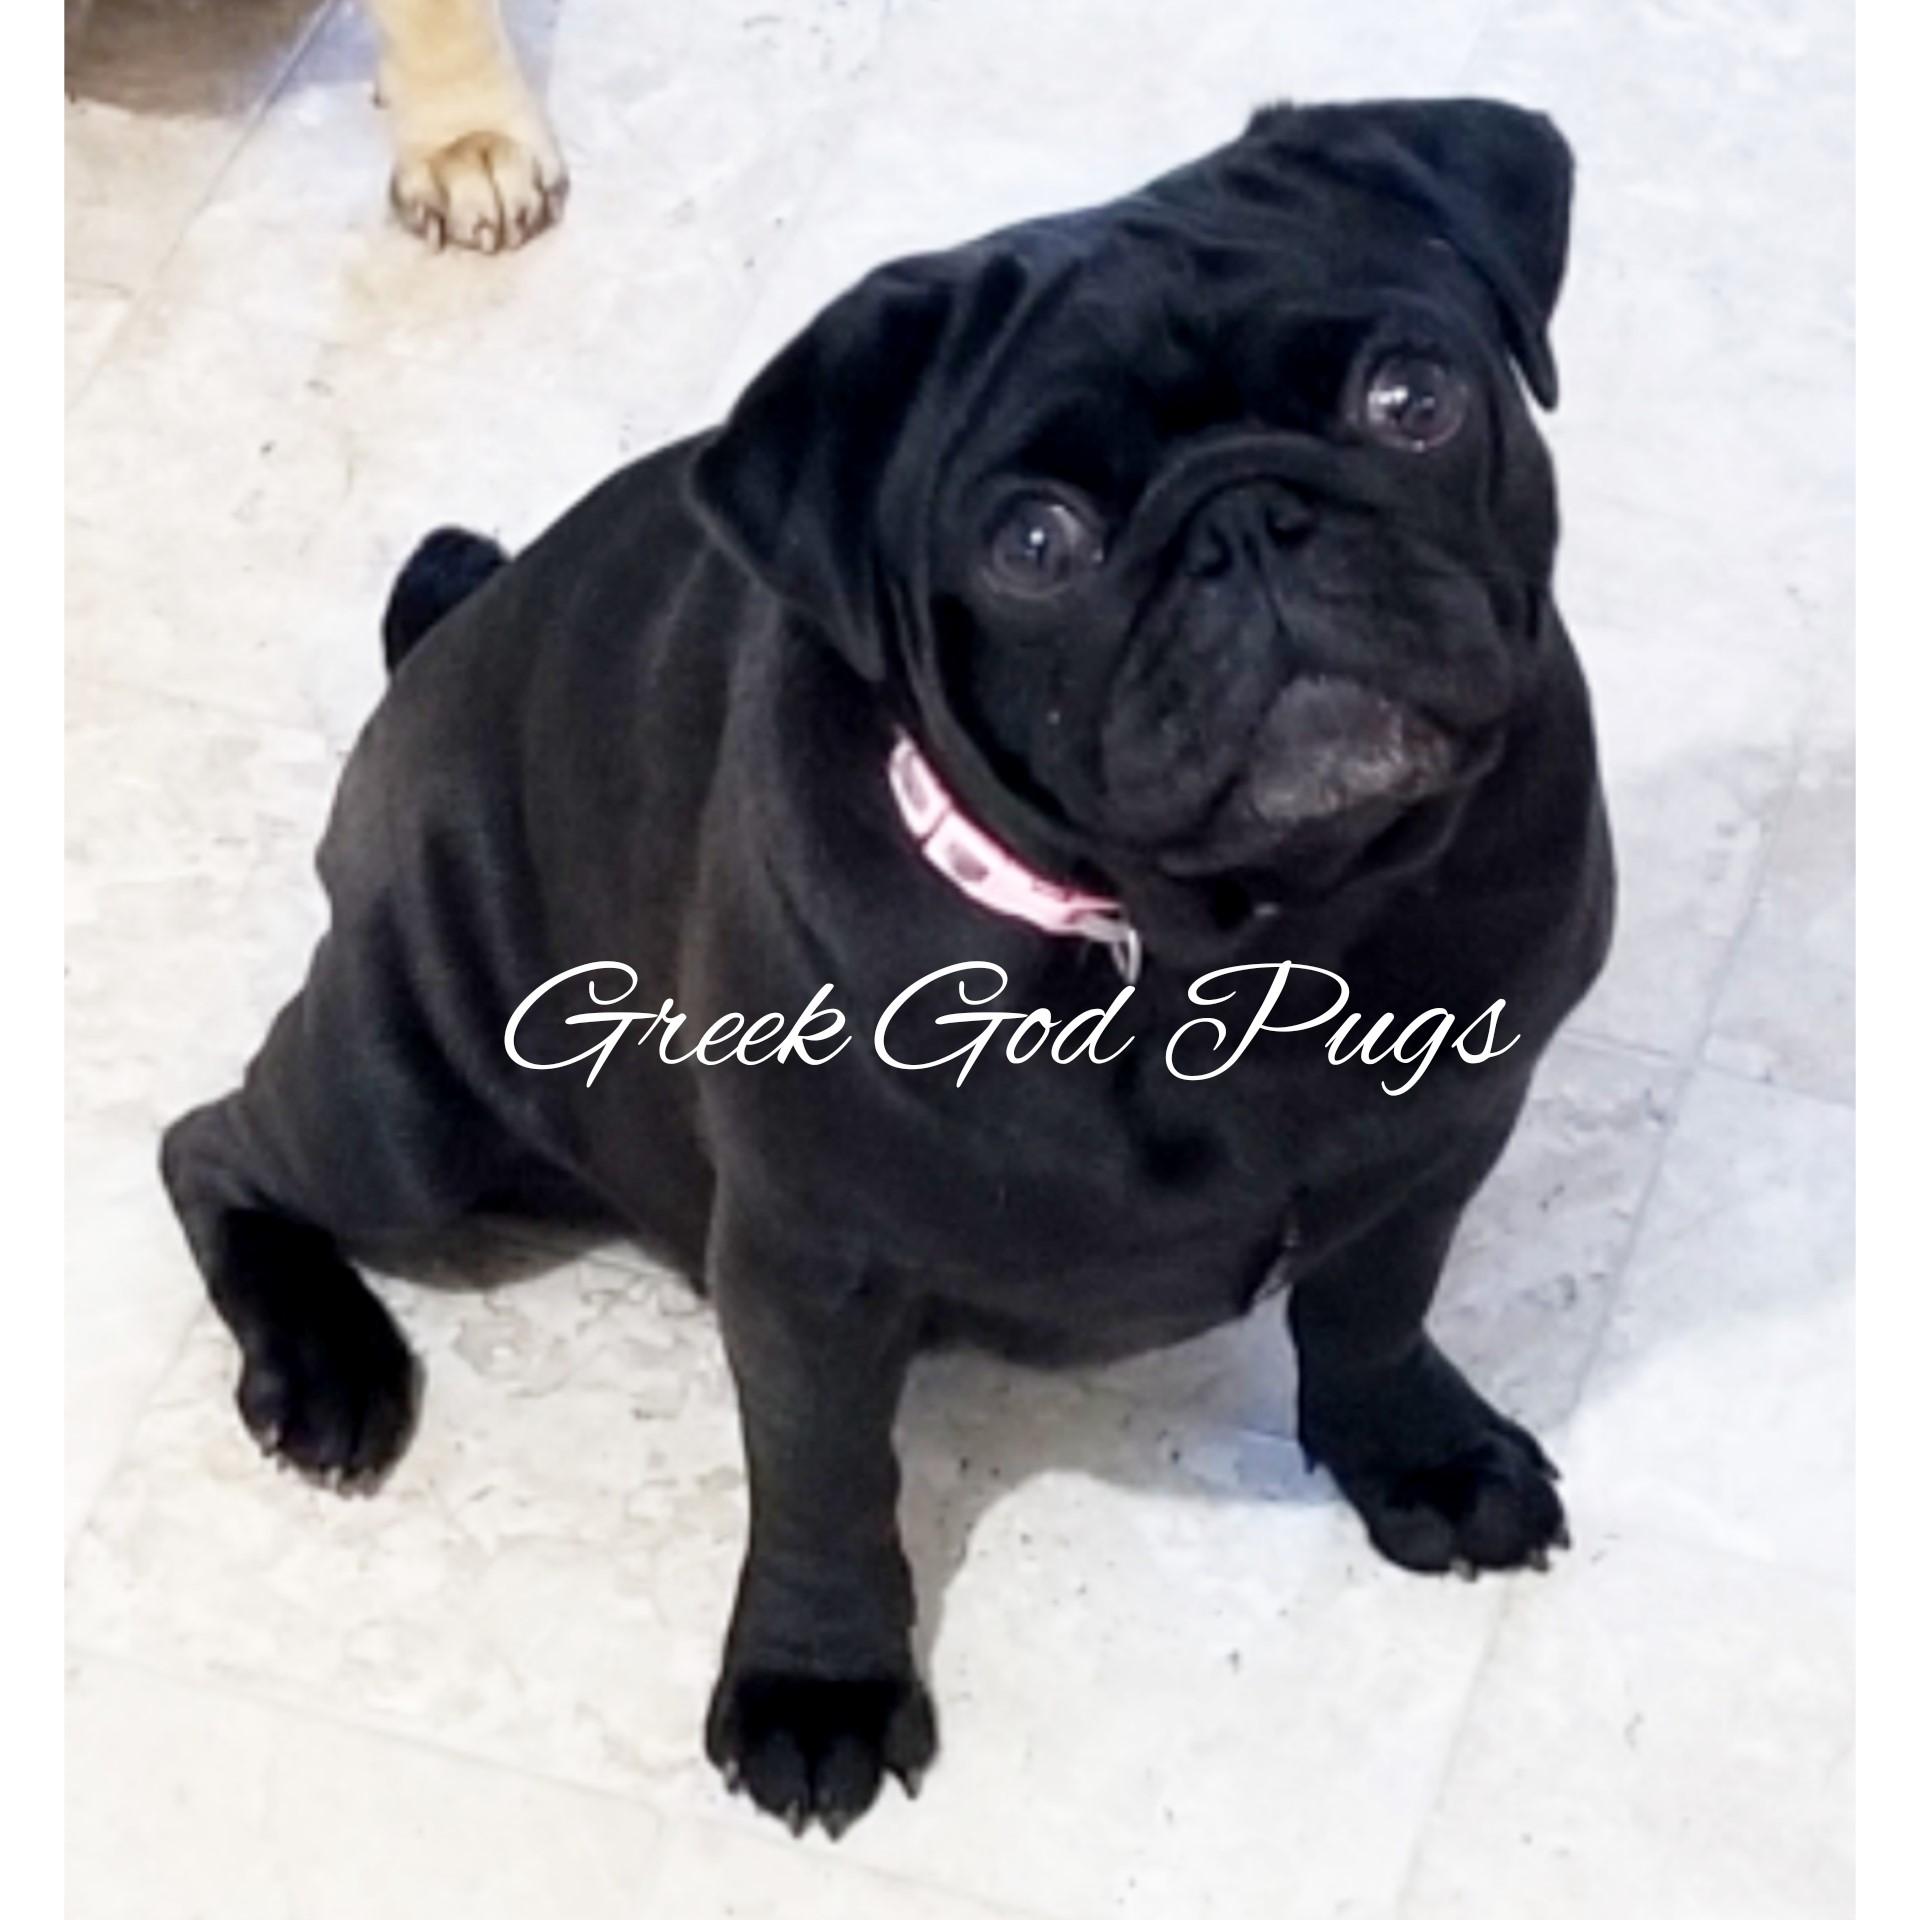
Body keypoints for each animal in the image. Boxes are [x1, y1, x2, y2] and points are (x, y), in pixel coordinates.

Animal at [160, 97, 1614, 1837]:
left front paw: (1414, 1456)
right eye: (1036, 542)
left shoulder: (1444, 1142)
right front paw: (819, 1683)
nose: (1248, 521)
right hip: (409, 1113)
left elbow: (1376, 1312)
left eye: (1412, 398)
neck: (1245, 931)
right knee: (211, 1149)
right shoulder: (811, 1267)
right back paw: (323, 1367)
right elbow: (825, 1481)